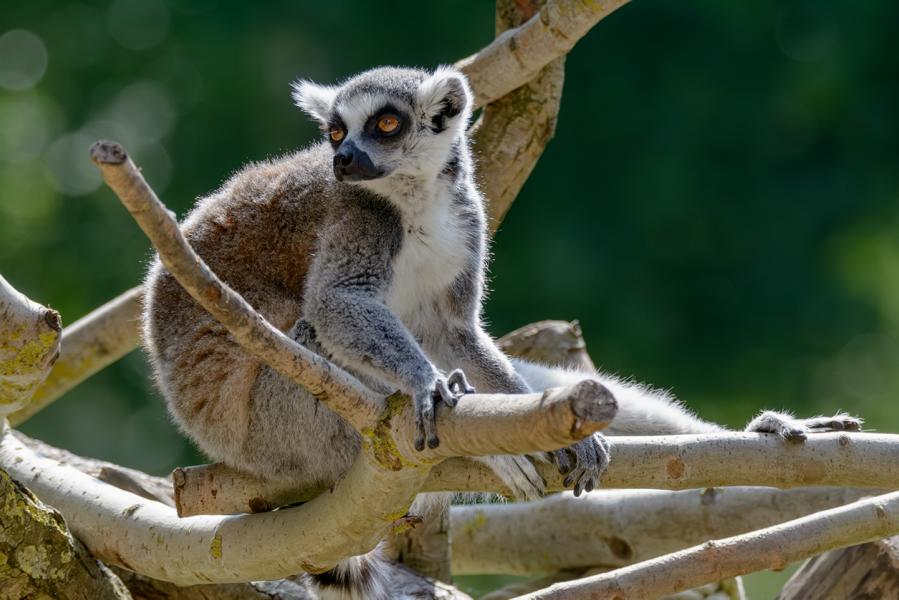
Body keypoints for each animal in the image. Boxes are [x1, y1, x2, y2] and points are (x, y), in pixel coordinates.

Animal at [143, 66, 861, 599]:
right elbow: (335, 306)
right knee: (317, 348)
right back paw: (491, 450)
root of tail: (213, 439)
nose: (342, 158)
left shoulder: (466, 223)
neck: (415, 201)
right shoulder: (356, 218)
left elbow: (460, 333)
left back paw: (749, 435)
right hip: (277, 426)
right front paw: (428, 387)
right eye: (334, 129)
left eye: (384, 123)